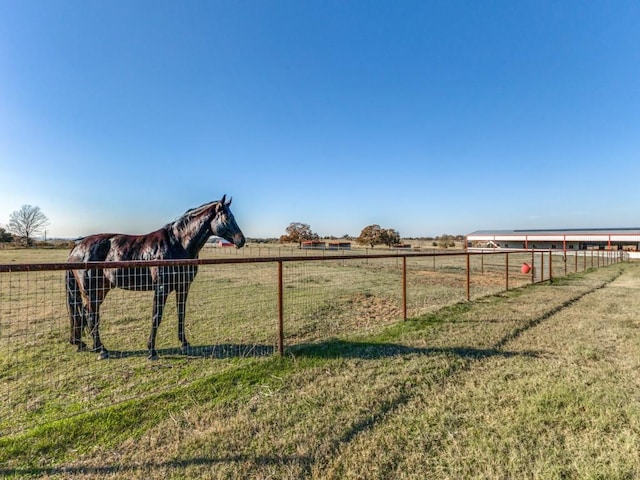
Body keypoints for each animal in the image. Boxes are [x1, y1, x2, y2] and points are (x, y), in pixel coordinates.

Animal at [65, 195, 245, 360]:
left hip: (101, 289)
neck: (177, 244)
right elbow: (156, 317)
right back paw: (101, 349)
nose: (241, 240)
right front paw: (151, 351)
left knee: (86, 314)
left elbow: (181, 313)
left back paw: (87, 345)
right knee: (91, 316)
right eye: (227, 217)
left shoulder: (183, 287)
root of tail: (77, 248)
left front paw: (185, 344)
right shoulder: (161, 289)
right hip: (92, 292)